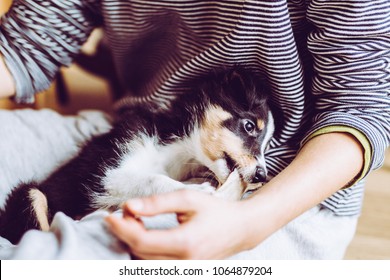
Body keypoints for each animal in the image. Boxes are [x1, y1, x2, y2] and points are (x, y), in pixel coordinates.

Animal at [0, 65, 274, 243]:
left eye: (267, 143)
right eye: (249, 126)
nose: (262, 175)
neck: (174, 150)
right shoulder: (106, 173)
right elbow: (152, 179)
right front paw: (196, 191)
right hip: (31, 195)